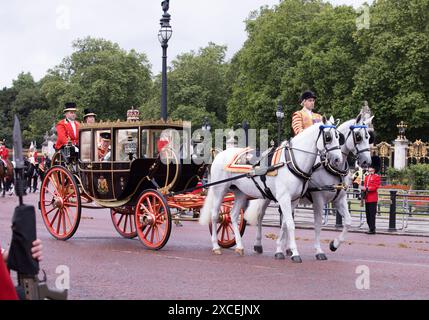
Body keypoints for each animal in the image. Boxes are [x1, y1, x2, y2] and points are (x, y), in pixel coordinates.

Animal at [199, 115, 342, 262]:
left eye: (339, 137)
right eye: (328, 137)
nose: (338, 159)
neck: (291, 162)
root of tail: (220, 154)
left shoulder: (293, 200)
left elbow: (285, 223)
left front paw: (282, 250)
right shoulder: (284, 198)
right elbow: (290, 224)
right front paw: (295, 253)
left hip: (240, 193)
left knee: (232, 215)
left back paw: (239, 247)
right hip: (220, 189)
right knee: (215, 215)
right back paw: (216, 246)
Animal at [246, 114, 372, 262]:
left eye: (368, 136)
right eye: (358, 136)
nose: (367, 161)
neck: (332, 169)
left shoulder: (339, 200)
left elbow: (347, 222)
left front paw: (334, 245)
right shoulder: (319, 200)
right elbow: (317, 224)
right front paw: (318, 251)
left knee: (284, 219)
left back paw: (286, 249)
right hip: (266, 195)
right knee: (260, 216)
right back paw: (259, 244)